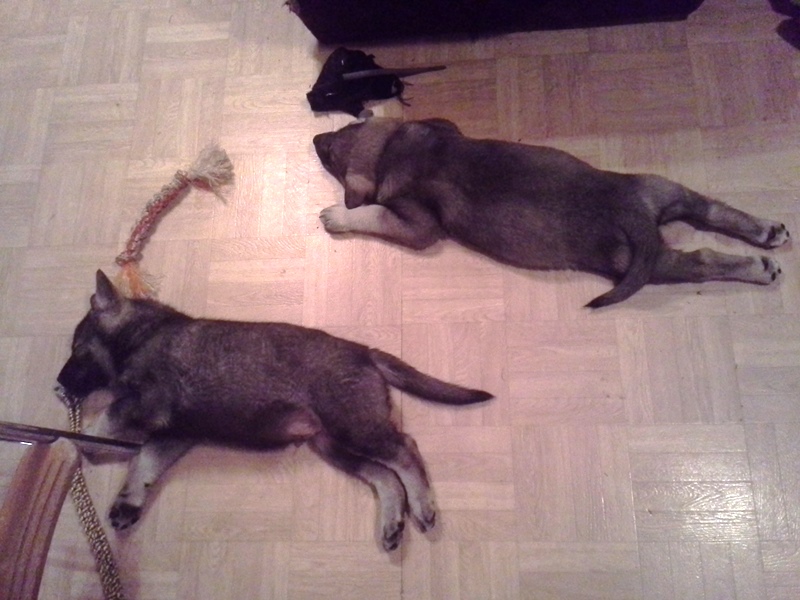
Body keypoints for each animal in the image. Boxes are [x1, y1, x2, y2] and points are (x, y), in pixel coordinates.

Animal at [56, 270, 492, 551]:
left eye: (77, 349)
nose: (58, 384)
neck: (144, 336)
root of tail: (365, 352)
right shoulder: (175, 433)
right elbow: (144, 461)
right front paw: (129, 499)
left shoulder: (147, 401)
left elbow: (102, 425)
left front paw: (80, 441)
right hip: (331, 445)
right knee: (385, 476)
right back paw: (391, 521)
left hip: (354, 428)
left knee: (405, 450)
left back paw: (423, 506)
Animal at [313, 117, 791, 307]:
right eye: (342, 130)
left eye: (331, 156)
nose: (316, 137)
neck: (394, 147)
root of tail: (630, 211)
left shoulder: (416, 225)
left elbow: (372, 214)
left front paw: (335, 215)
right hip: (659, 186)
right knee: (709, 208)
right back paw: (767, 234)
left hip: (646, 262)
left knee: (703, 258)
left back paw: (758, 267)